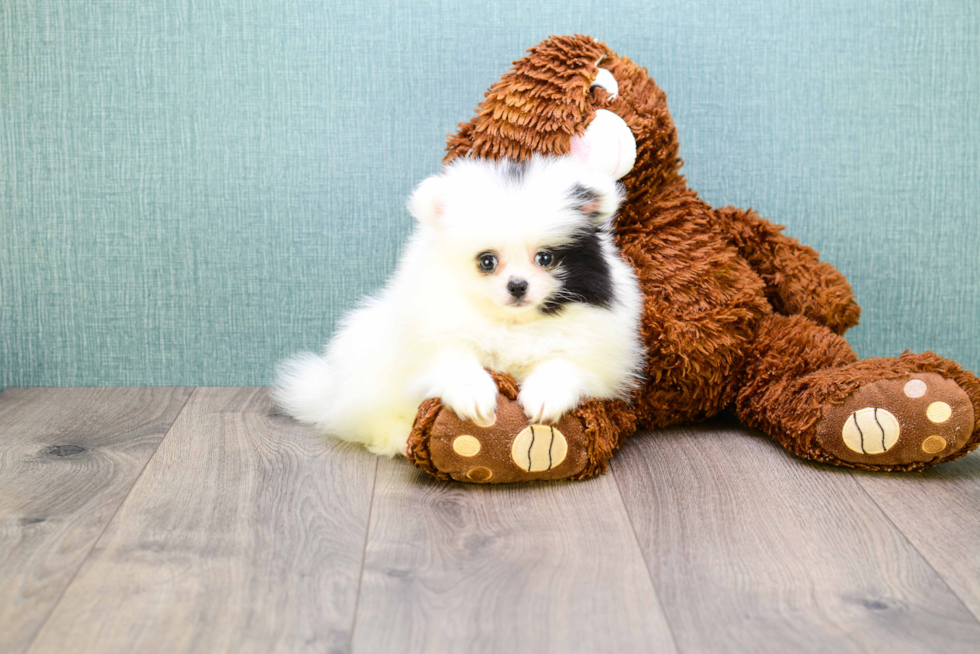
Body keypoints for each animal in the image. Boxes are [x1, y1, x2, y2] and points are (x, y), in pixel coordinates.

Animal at [272, 156, 648, 458]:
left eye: (545, 258)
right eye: (487, 261)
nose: (517, 285)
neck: (512, 324)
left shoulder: (596, 351)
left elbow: (565, 363)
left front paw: (545, 396)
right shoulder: (433, 336)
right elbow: (453, 359)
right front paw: (473, 396)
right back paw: (398, 437)